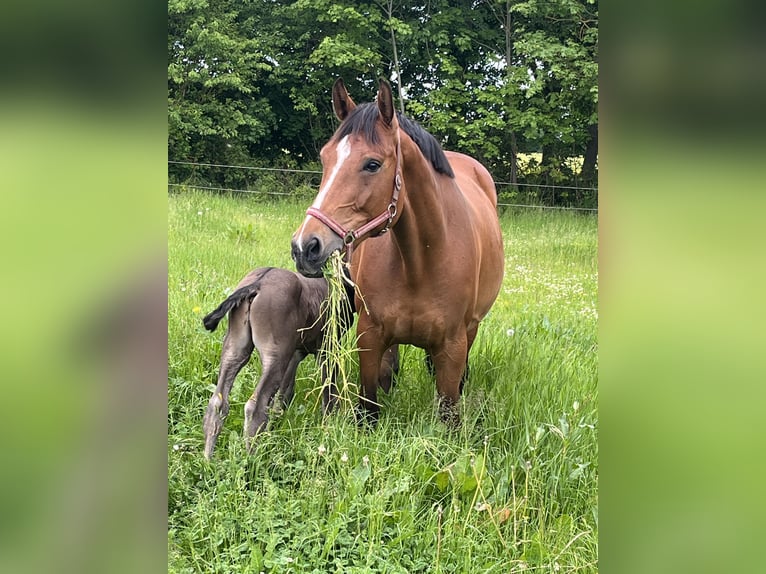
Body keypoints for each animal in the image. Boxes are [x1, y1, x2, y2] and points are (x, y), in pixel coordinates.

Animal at [201, 266, 374, 459]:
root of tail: (258, 283)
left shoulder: (295, 354)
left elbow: (284, 394)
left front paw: (275, 427)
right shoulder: (327, 349)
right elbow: (328, 390)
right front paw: (330, 424)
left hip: (235, 349)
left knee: (217, 402)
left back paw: (207, 459)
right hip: (275, 356)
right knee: (255, 407)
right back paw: (252, 460)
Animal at [291, 78, 504, 423]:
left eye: (372, 164)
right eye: (325, 158)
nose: (305, 246)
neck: (421, 261)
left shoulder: (453, 346)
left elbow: (449, 411)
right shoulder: (369, 335)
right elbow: (368, 408)